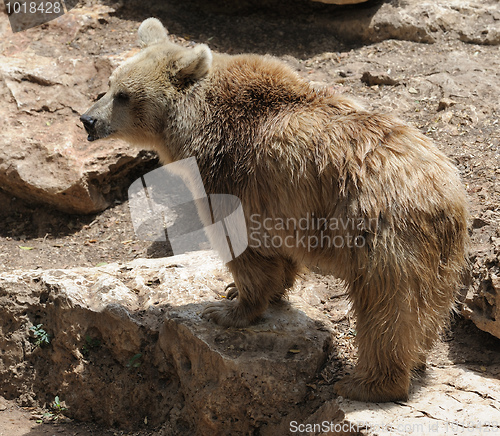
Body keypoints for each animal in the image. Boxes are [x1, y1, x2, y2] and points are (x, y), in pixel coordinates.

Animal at [81, 18, 468, 404]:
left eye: (124, 95)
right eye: (109, 85)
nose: (87, 120)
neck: (196, 125)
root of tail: (443, 192)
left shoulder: (232, 176)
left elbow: (242, 248)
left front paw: (227, 309)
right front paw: (239, 291)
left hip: (379, 231)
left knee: (387, 307)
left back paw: (367, 383)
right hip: (442, 254)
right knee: (427, 307)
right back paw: (416, 359)